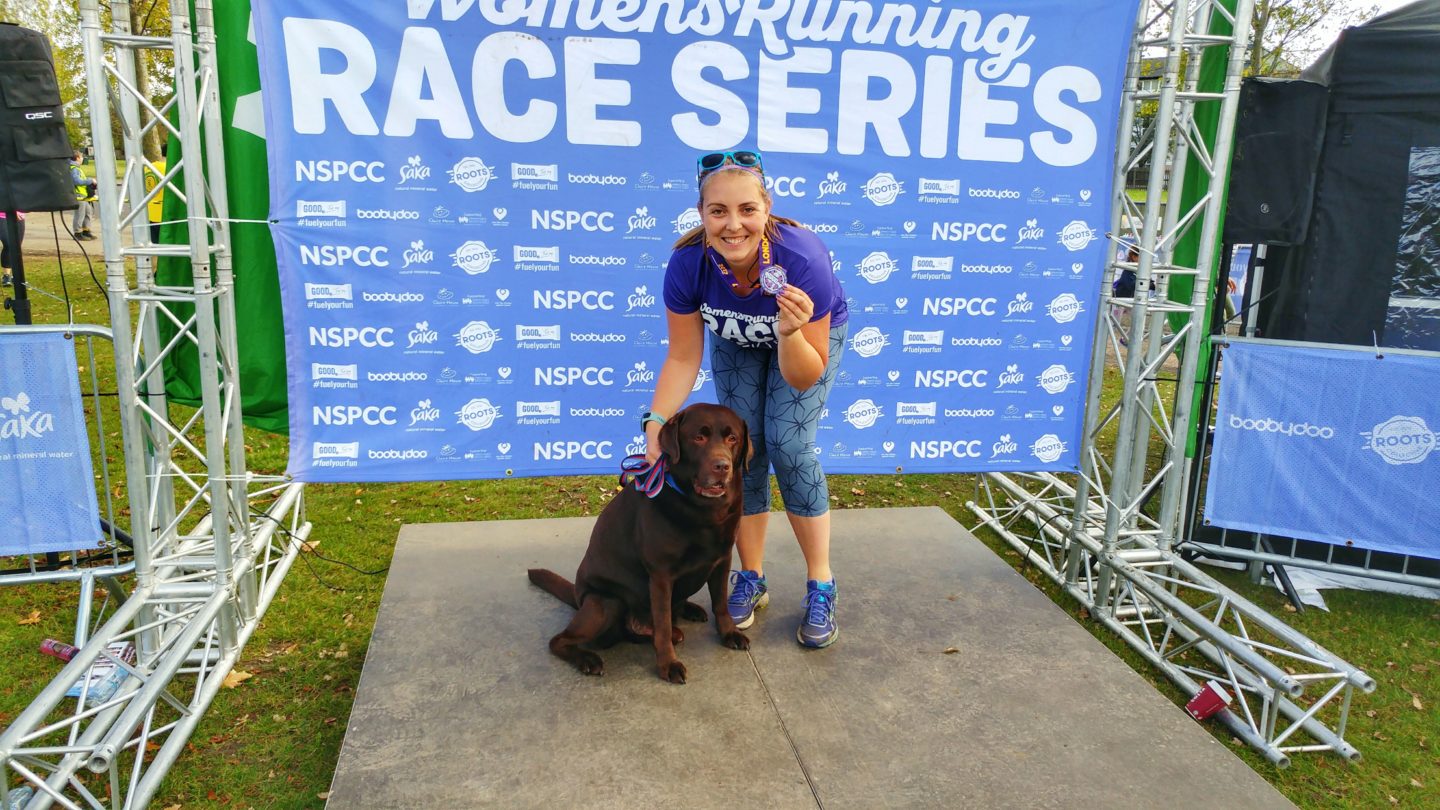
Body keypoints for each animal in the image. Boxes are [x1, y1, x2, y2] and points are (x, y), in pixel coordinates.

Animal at [529, 400, 754, 677]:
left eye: (733, 438)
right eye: (698, 437)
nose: (722, 466)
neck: (703, 509)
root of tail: (579, 598)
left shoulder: (722, 559)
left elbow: (720, 603)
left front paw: (729, 633)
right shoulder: (660, 574)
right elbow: (663, 626)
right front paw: (668, 665)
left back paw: (688, 611)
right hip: (606, 603)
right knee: (560, 640)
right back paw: (587, 659)